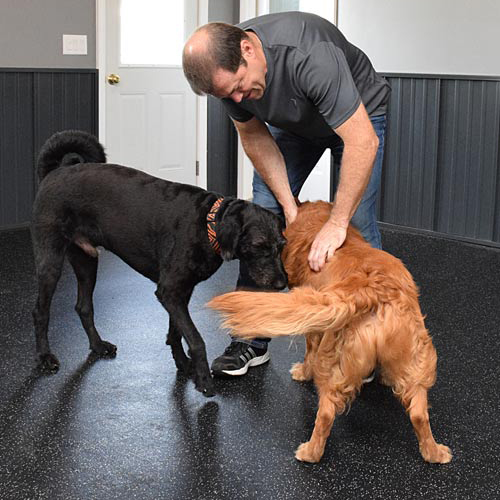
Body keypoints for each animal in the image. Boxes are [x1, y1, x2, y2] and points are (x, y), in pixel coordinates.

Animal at [31, 131, 288, 396]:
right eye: (259, 246)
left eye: (281, 245)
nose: (282, 284)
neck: (207, 224)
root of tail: (55, 172)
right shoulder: (170, 291)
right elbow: (195, 339)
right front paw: (203, 379)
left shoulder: (180, 293)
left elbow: (176, 332)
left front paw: (183, 364)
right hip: (51, 261)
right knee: (41, 311)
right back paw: (45, 357)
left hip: (87, 261)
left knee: (83, 307)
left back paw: (98, 345)